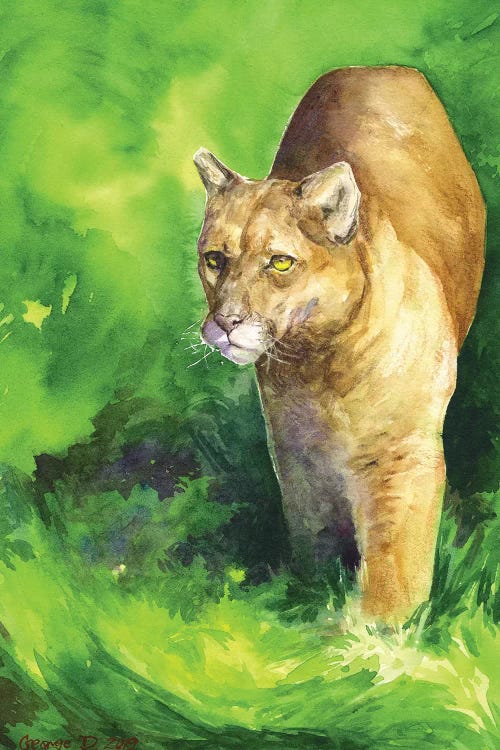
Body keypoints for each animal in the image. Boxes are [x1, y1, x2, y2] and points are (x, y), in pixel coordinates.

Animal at [193, 66, 485, 621]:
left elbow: (395, 552)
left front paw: (376, 630)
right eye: (214, 259)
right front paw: (311, 595)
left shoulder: (400, 452)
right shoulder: (296, 452)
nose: (227, 321)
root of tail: (377, 67)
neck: (318, 363)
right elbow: (314, 531)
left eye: (280, 262)